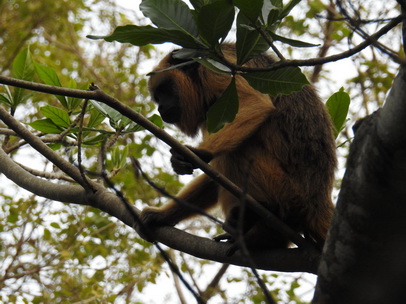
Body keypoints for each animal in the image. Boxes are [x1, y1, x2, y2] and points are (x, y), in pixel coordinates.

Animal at [140, 44, 336, 254]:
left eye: (164, 89)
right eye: (157, 96)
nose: (160, 108)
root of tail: (319, 198)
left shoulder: (219, 69)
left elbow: (256, 104)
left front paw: (198, 153)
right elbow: (214, 176)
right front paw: (162, 215)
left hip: (289, 190)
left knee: (234, 153)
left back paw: (262, 220)